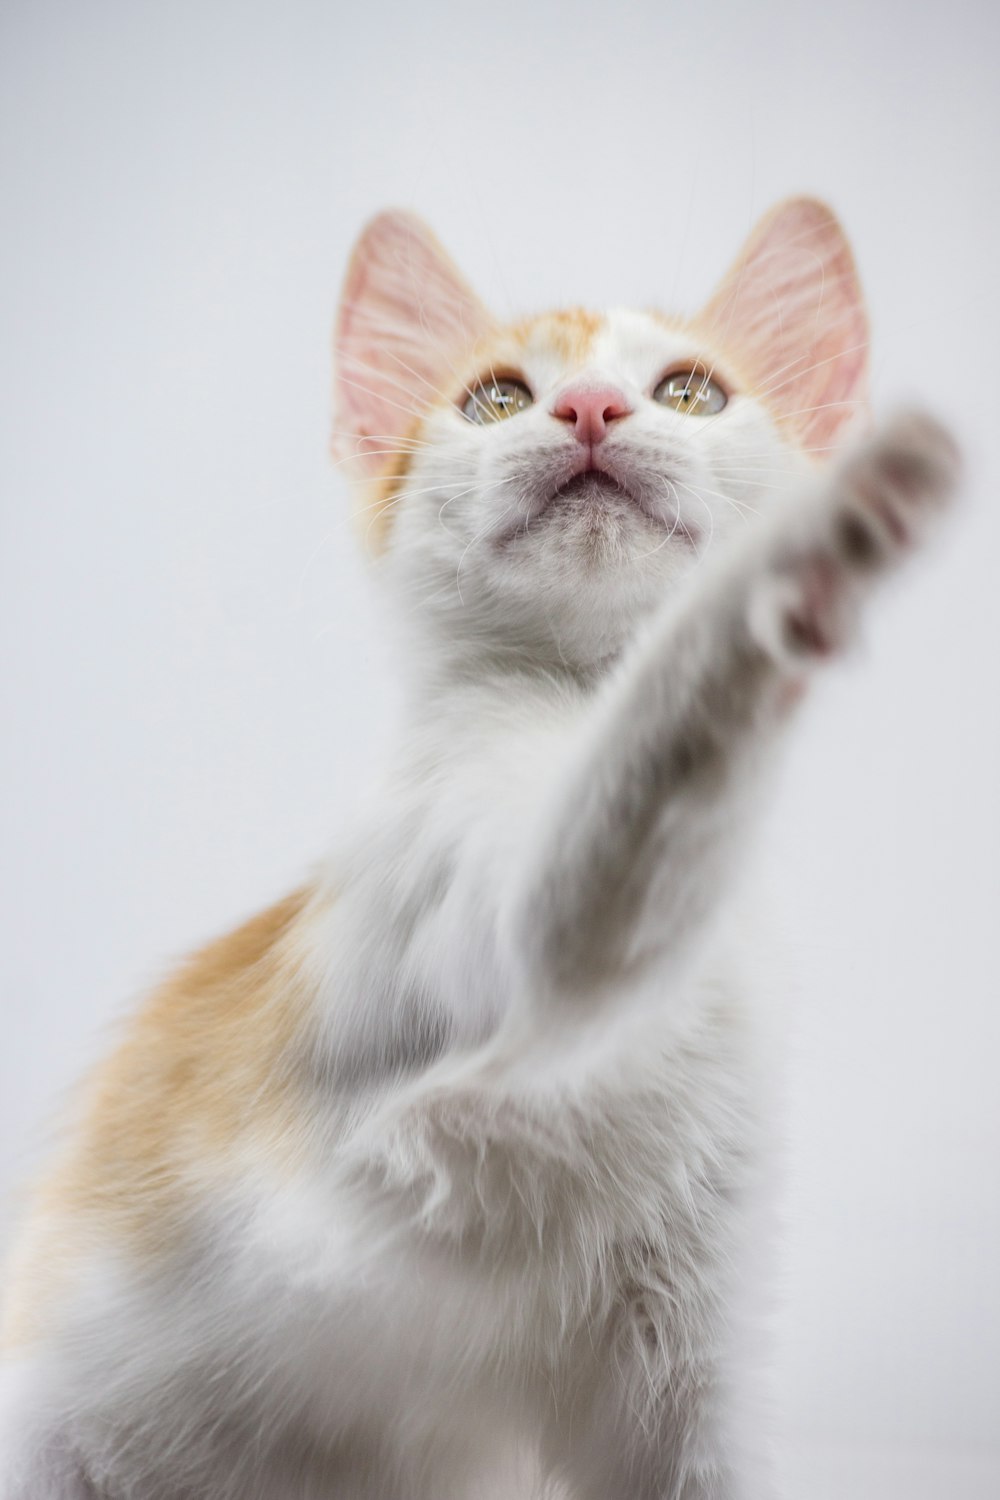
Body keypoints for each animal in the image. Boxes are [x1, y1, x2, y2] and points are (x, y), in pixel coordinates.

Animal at [0, 202, 959, 1500]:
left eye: (691, 391)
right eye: (497, 398)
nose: (591, 408)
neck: (562, 702)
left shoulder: (691, 1339)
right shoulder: (481, 915)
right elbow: (656, 736)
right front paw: (821, 542)